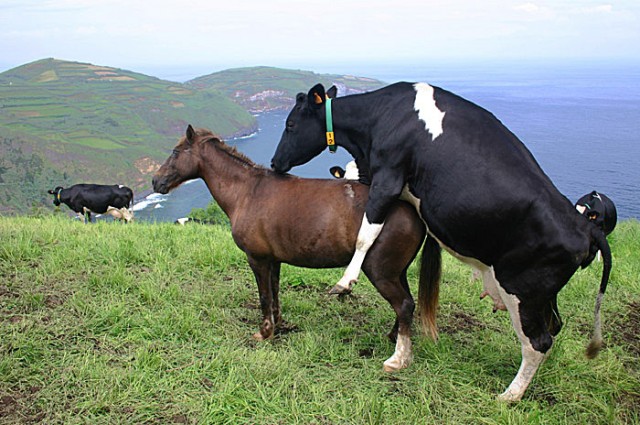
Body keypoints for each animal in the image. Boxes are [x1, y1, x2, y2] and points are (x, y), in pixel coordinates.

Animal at [270, 82, 612, 402]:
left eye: (290, 124)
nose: (274, 162)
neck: (381, 117)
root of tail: (584, 226)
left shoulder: (388, 176)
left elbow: (366, 234)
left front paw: (345, 280)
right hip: (543, 293)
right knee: (554, 327)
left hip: (522, 290)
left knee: (538, 341)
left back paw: (511, 395)